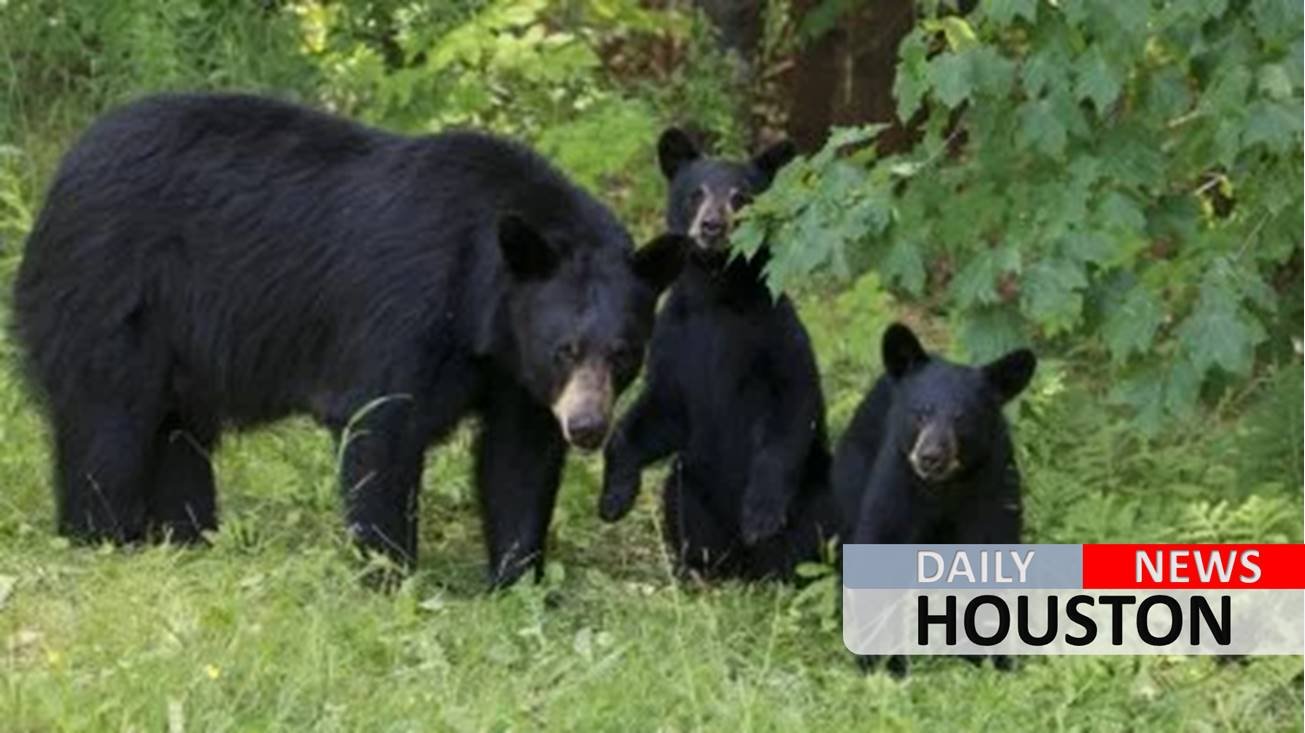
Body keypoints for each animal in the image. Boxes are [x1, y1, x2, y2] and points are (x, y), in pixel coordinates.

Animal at [11, 92, 687, 588]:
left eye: (623, 354)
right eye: (564, 349)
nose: (588, 427)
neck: (481, 302)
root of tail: (62, 174)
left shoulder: (511, 367)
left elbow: (517, 458)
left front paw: (519, 580)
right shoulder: (406, 309)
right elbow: (380, 426)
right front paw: (389, 571)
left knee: (176, 437)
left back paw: (189, 535)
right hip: (110, 297)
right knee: (108, 424)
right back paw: (102, 536)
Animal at [597, 127, 839, 581]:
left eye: (740, 196)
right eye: (697, 193)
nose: (711, 226)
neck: (715, 296)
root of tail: (746, 567)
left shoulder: (775, 335)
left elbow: (793, 403)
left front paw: (761, 515)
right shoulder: (675, 339)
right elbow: (659, 410)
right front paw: (614, 497)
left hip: (815, 489)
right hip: (692, 486)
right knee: (681, 502)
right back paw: (696, 570)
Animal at [833, 322, 1036, 673]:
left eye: (961, 417)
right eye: (921, 413)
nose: (931, 457)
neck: (943, 488)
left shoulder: (993, 487)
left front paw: (994, 656)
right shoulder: (897, 484)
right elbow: (878, 549)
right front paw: (882, 661)